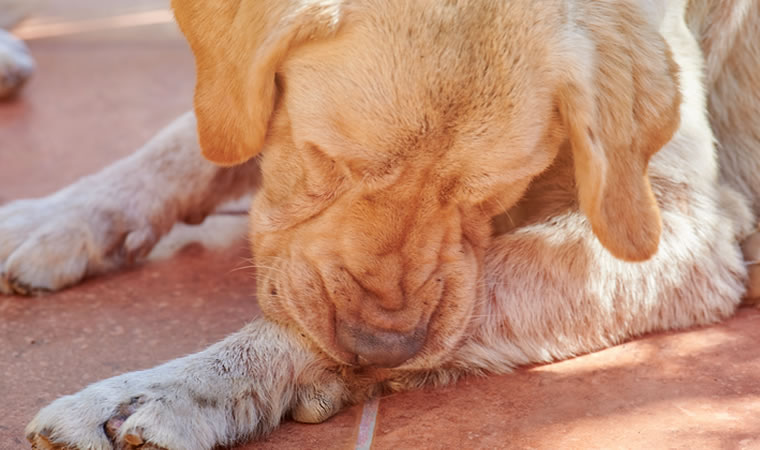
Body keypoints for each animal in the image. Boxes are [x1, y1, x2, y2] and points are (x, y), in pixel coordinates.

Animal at [5, 0, 760, 448]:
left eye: (489, 192)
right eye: (328, 159)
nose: (380, 348)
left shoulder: (683, 235)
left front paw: (178, 386)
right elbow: (195, 138)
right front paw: (59, 213)